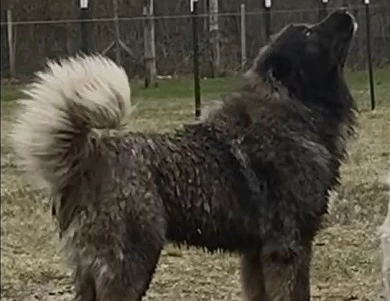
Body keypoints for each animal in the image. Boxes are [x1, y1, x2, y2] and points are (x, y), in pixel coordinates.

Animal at [11, 8, 360, 300]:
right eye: (309, 33)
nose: (344, 13)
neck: (293, 105)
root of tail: (87, 154)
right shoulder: (289, 248)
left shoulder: (256, 254)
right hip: (130, 264)